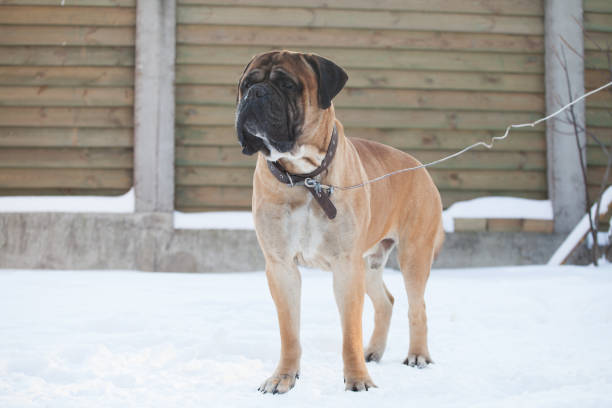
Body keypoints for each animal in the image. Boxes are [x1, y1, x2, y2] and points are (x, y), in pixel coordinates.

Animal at [235, 50, 444, 392]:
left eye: (287, 85)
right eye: (246, 85)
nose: (256, 94)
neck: (304, 176)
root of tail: (419, 166)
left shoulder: (346, 265)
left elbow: (350, 334)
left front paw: (358, 380)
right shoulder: (281, 266)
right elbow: (289, 331)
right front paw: (283, 377)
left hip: (413, 255)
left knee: (418, 306)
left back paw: (418, 355)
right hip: (369, 261)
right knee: (385, 302)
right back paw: (374, 351)